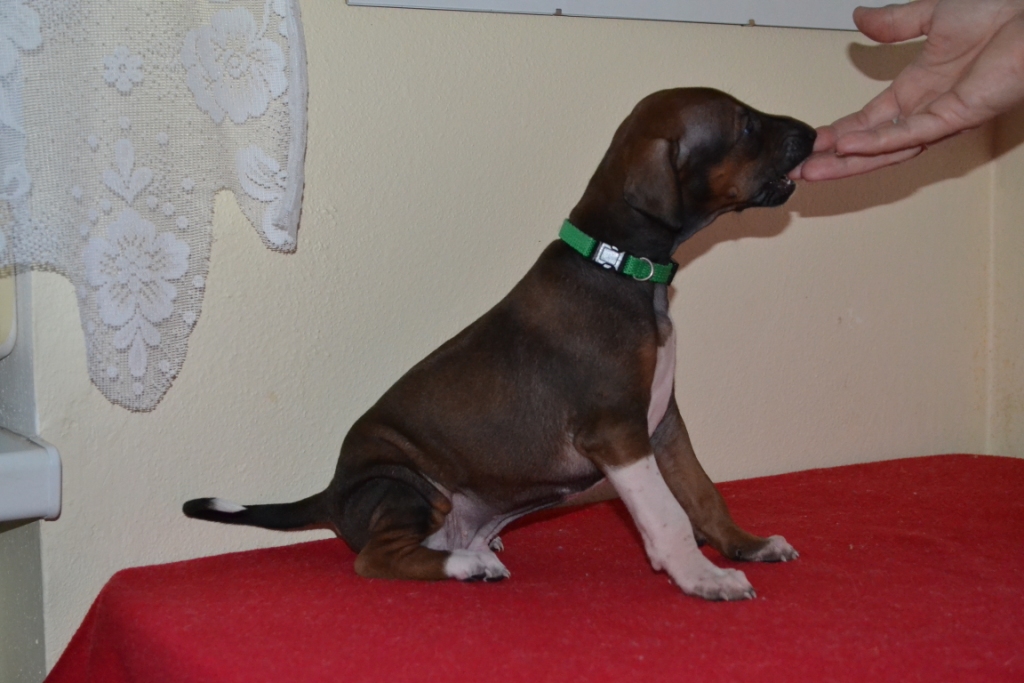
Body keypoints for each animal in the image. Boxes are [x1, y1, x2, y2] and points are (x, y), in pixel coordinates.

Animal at [184, 88, 815, 601]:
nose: (811, 133)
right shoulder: (617, 430)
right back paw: (466, 565)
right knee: (377, 559)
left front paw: (746, 545)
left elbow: (702, 492)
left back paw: (475, 550)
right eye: (745, 126)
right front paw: (702, 577)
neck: (617, 266)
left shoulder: (663, 424)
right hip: (404, 482)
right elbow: (667, 512)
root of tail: (332, 494)